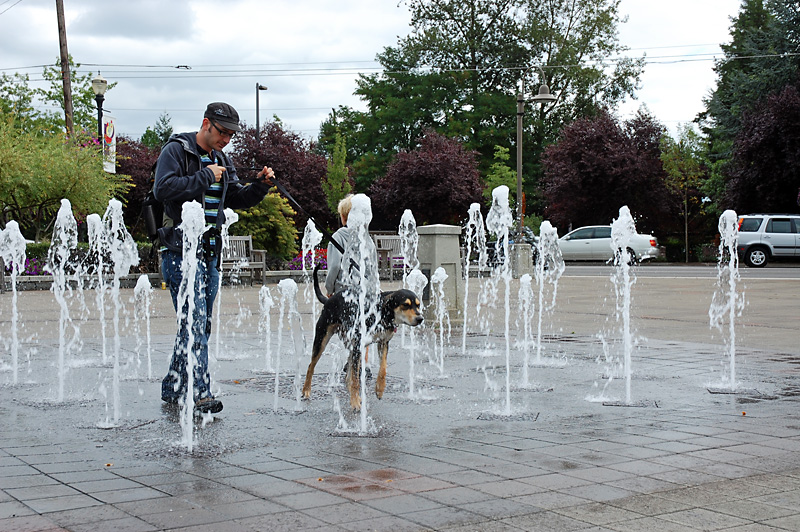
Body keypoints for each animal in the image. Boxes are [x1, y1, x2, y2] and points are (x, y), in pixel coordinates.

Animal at [302, 264, 424, 410]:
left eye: (418, 305)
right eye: (405, 305)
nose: (420, 318)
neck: (381, 313)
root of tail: (329, 300)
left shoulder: (383, 342)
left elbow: (383, 369)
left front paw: (379, 389)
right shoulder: (358, 345)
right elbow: (356, 379)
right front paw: (355, 403)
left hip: (351, 345)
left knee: (348, 373)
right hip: (322, 339)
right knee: (311, 365)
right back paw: (306, 390)